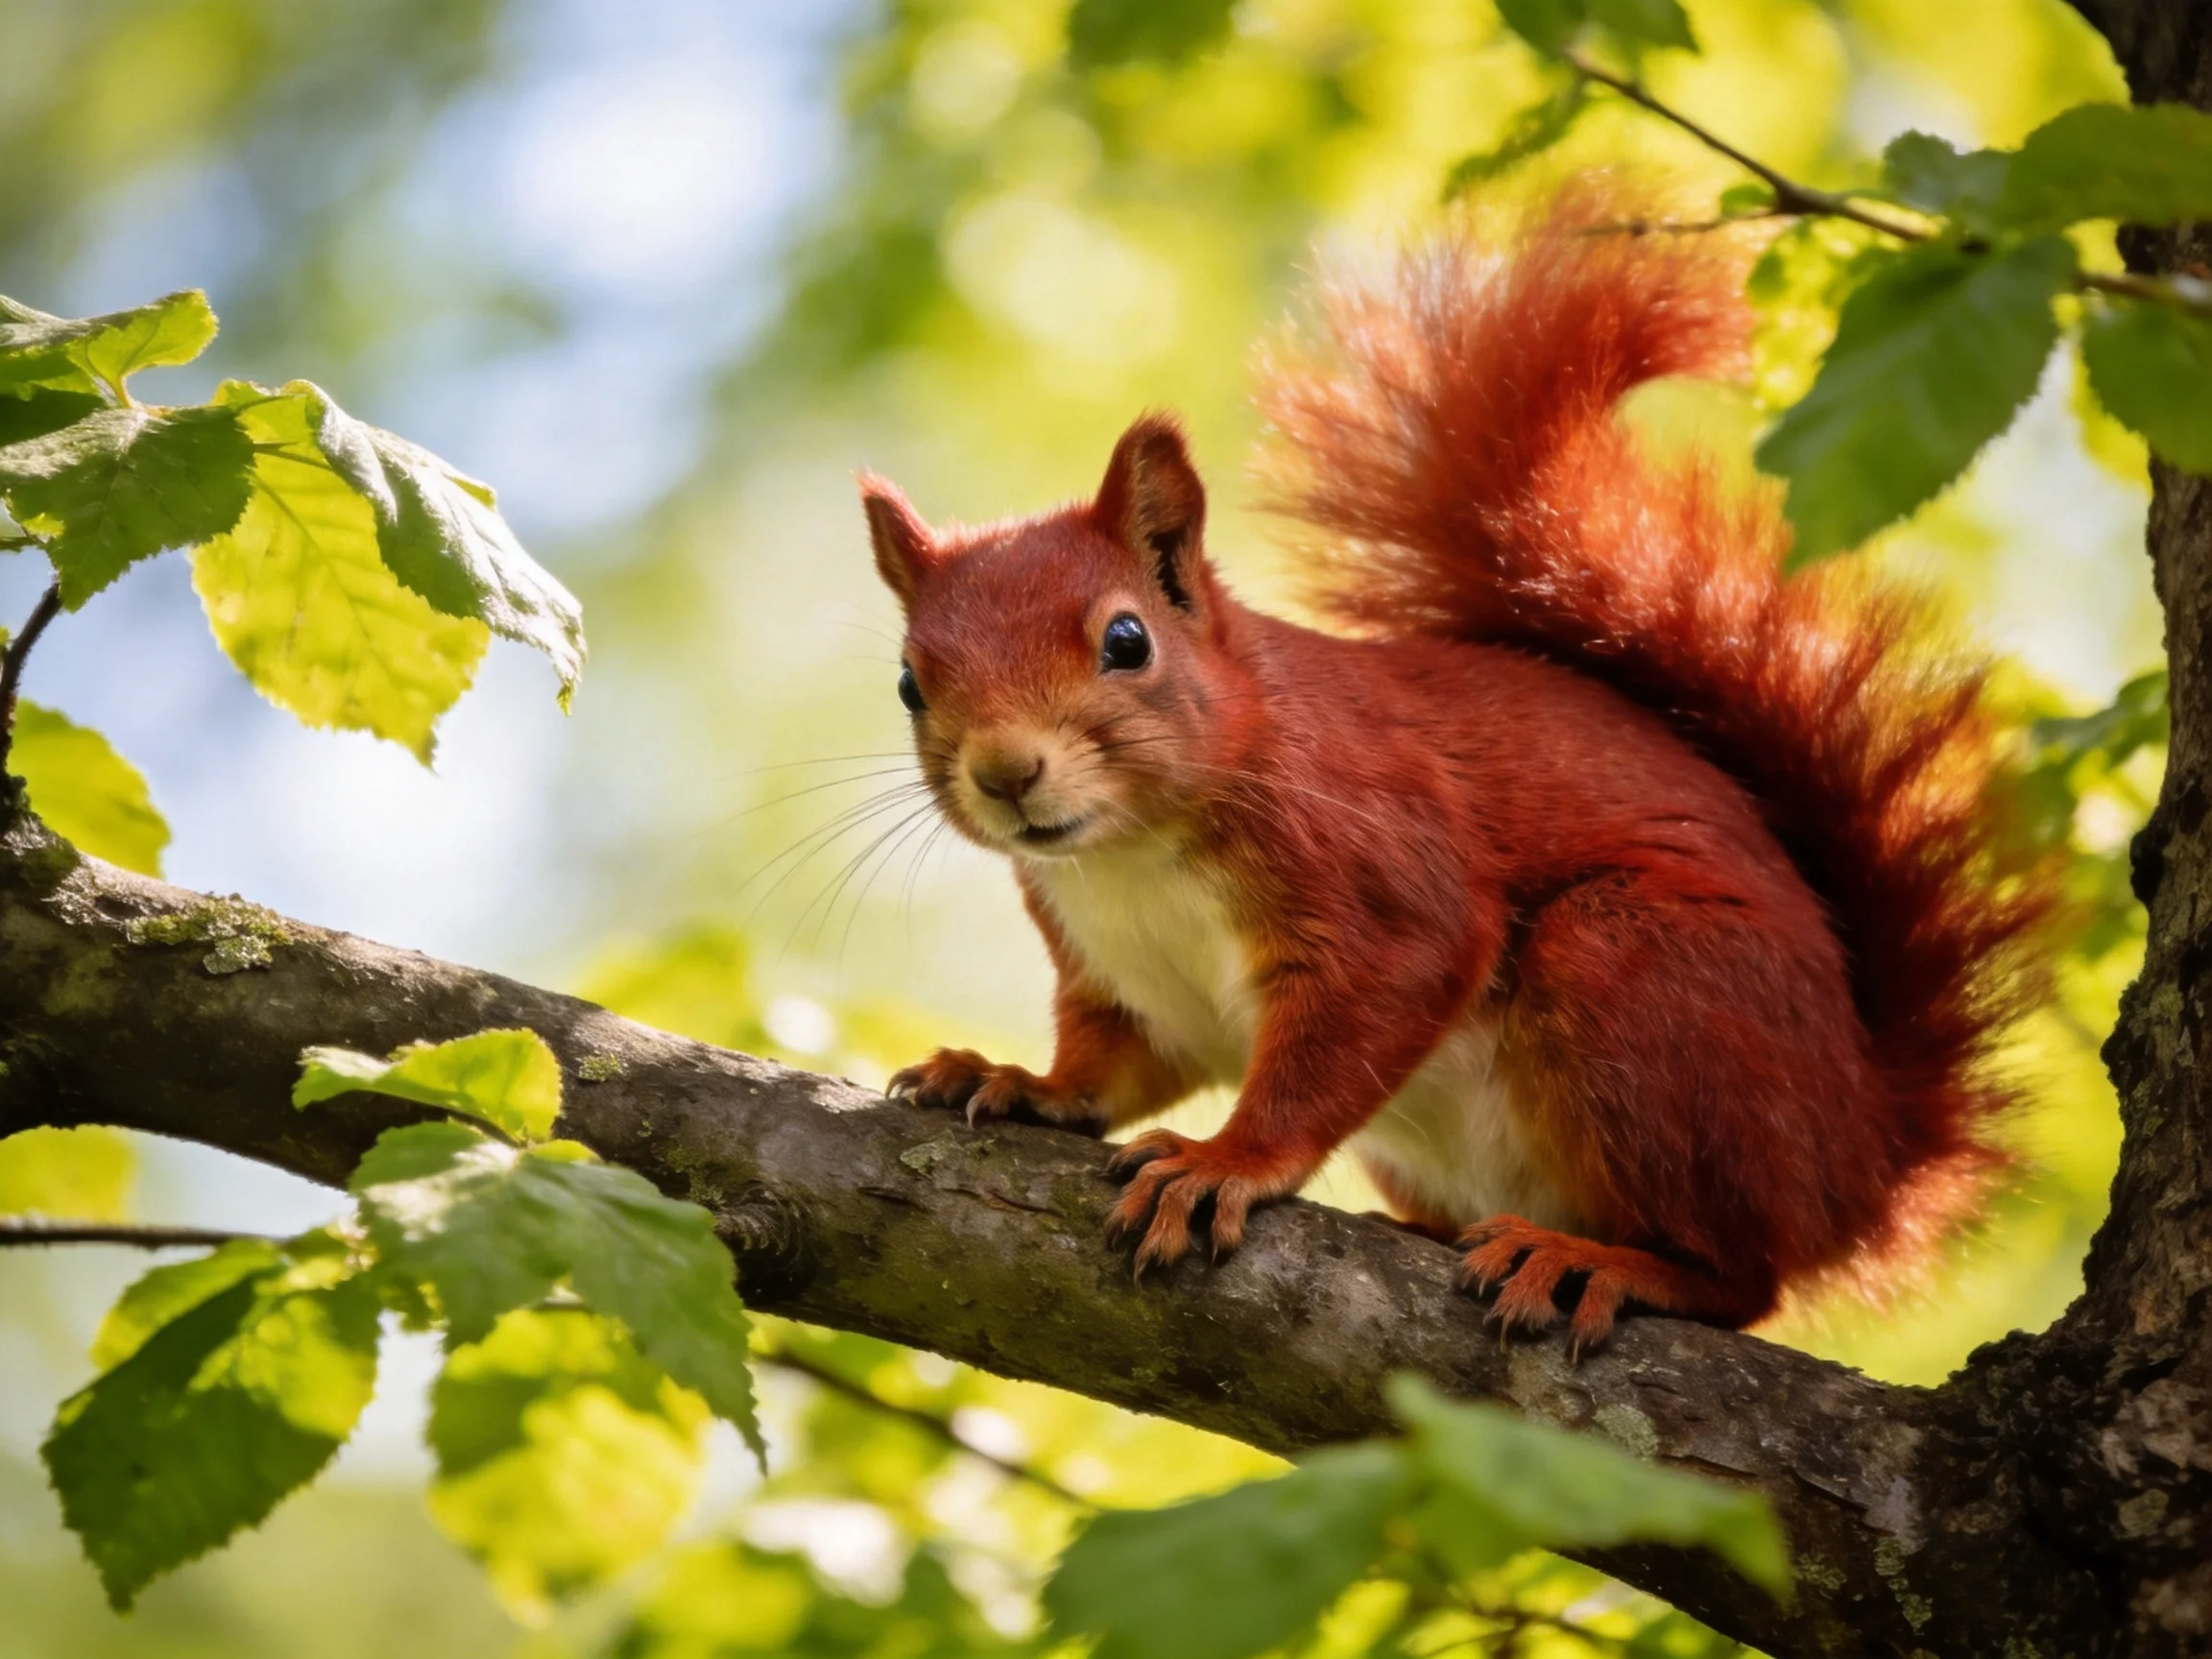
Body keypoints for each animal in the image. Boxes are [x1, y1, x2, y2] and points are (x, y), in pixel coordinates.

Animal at [860, 181, 2052, 1349]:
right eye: (911, 682)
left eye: (1125, 641)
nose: (1006, 772)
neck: (1133, 859)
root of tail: (1866, 1157)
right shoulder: (1131, 981)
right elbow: (1118, 1067)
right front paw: (1019, 1081)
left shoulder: (1381, 869)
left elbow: (1363, 1016)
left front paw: (1224, 1162)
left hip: (1642, 977)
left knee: (1745, 1277)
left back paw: (1603, 1261)